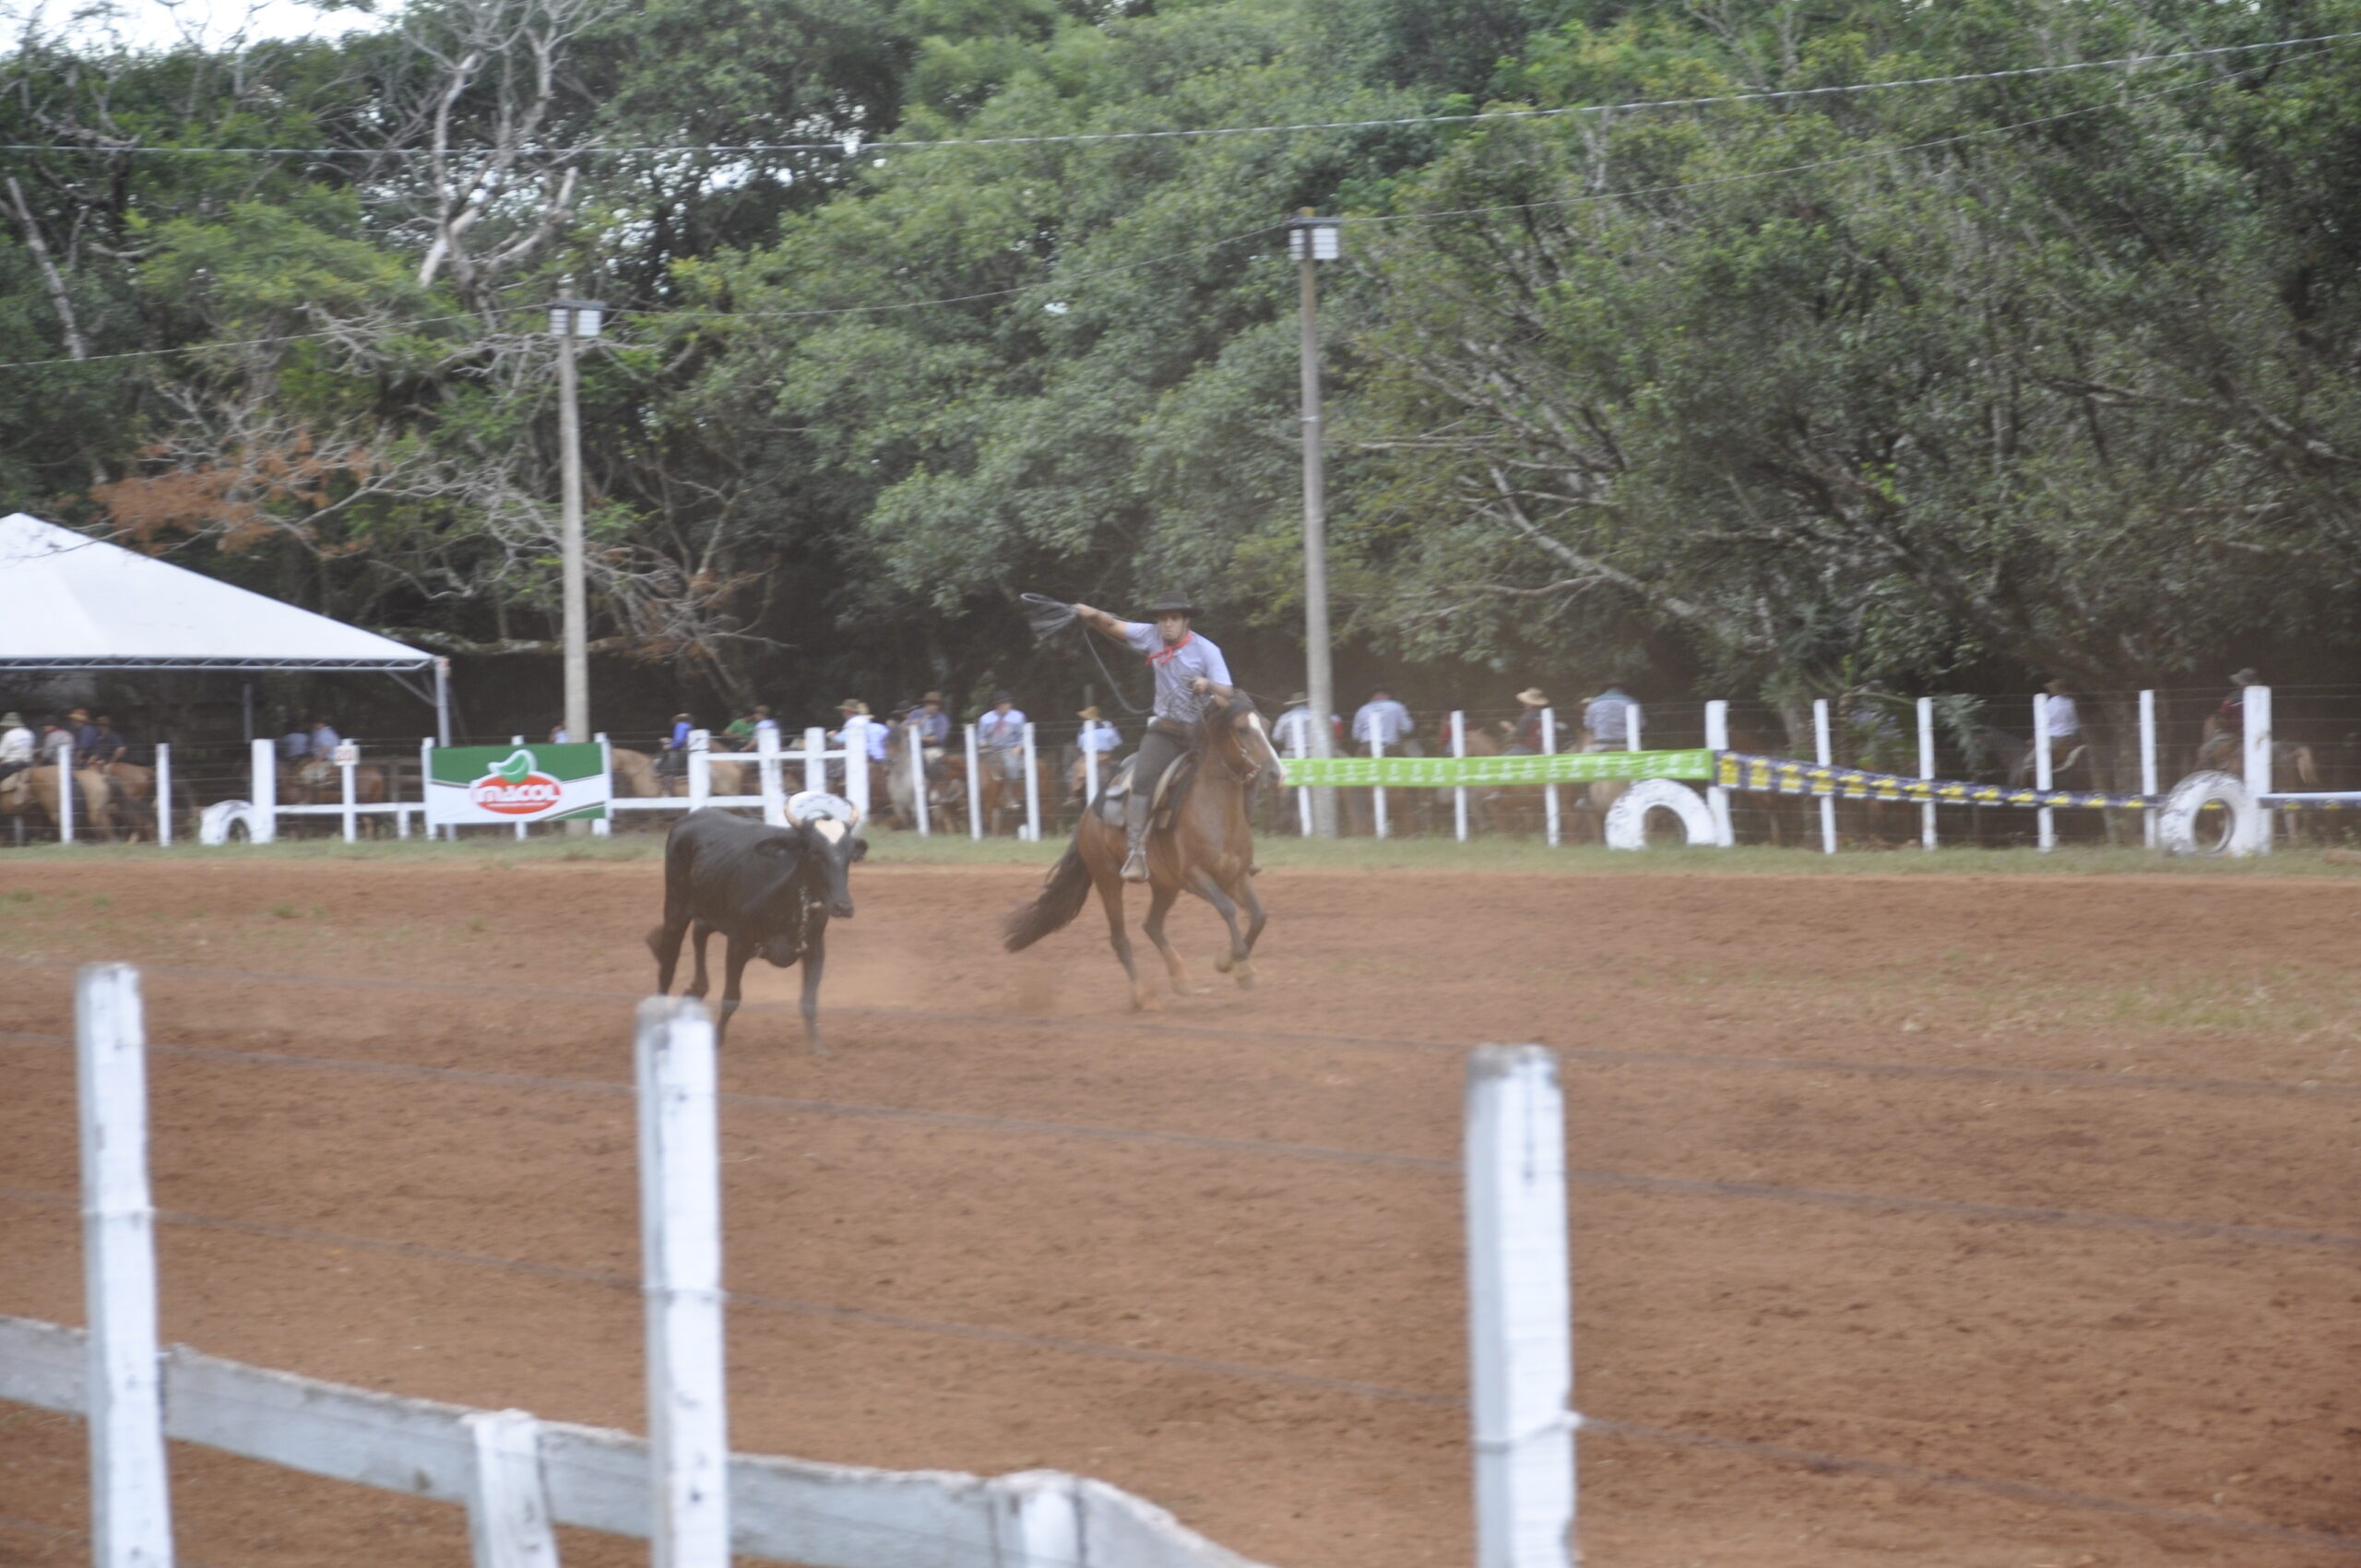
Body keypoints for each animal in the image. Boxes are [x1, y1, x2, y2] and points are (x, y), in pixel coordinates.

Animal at [645, 795, 866, 1053]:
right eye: (814, 851)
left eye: (849, 854)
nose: (843, 906)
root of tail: (690, 817)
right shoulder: (737, 944)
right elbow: (731, 997)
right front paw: (717, 1041)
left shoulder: (815, 949)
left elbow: (809, 999)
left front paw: (817, 1047)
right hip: (676, 907)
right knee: (667, 965)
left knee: (699, 932)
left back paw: (696, 988)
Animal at [1003, 693, 1281, 1010]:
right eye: (1241, 729)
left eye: (1266, 724)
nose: (1275, 773)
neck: (1217, 813)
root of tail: (1088, 815)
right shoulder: (1196, 877)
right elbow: (1227, 908)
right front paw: (1242, 969)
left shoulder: (1236, 876)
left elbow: (1259, 916)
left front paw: (1229, 960)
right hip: (1108, 880)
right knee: (1120, 938)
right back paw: (1143, 995)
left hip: (1165, 885)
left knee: (1152, 926)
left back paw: (1180, 979)